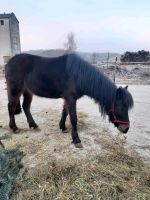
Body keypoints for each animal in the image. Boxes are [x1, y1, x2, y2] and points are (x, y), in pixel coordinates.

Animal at [4, 54, 134, 148]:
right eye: (120, 107)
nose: (126, 129)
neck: (78, 75)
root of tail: (9, 62)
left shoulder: (67, 98)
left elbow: (65, 113)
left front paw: (63, 127)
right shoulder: (71, 98)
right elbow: (73, 119)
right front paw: (76, 139)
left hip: (28, 91)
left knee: (26, 107)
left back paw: (33, 125)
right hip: (15, 90)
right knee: (11, 107)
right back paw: (14, 128)